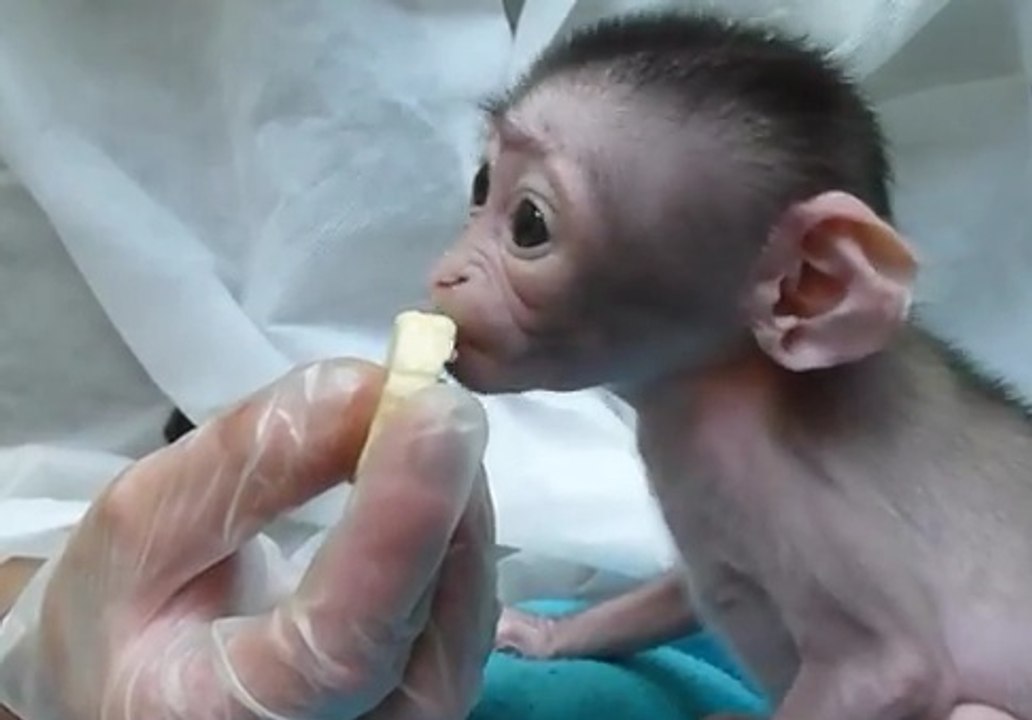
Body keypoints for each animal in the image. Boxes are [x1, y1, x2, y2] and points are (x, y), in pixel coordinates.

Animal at [430, 10, 1032, 720]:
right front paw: (550, 636)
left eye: (529, 223)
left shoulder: (797, 499)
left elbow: (892, 668)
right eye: (481, 185)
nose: (447, 275)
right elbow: (675, 588)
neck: (723, 384)